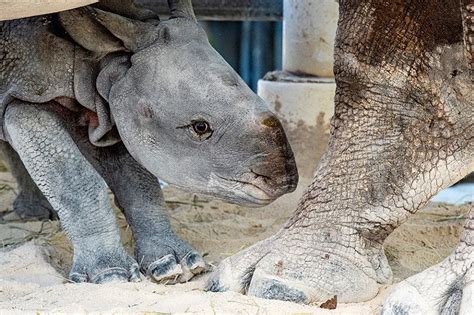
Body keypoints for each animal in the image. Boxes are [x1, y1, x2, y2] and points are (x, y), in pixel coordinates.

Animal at [0, 0, 296, 286]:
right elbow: (77, 180)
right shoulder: (29, 97)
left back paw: (37, 215)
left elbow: (138, 181)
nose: (285, 182)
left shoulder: (113, 110)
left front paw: (176, 266)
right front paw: (111, 276)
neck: (102, 63)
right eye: (200, 127)